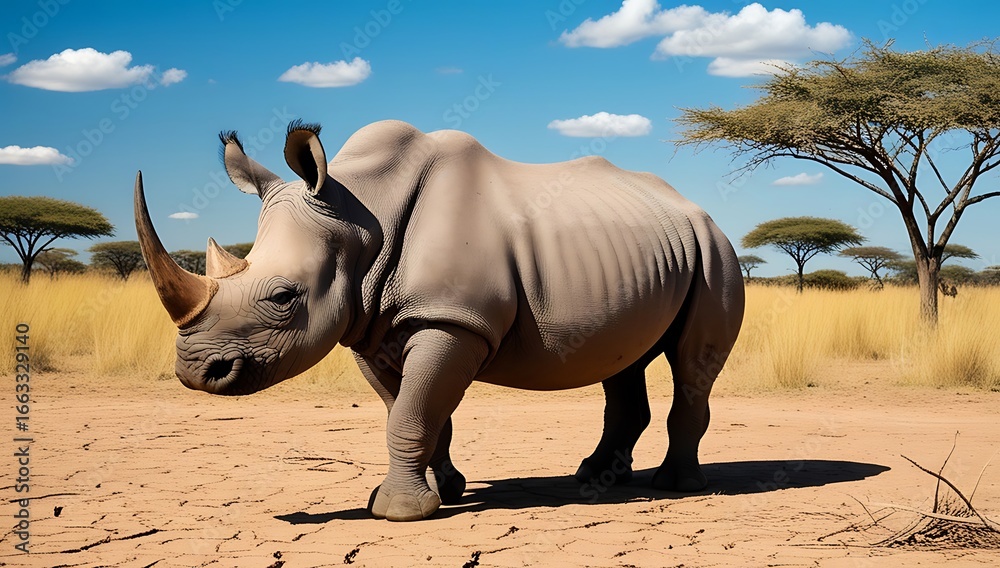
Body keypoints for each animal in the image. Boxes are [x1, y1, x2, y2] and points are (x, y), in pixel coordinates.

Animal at [134, 119, 744, 521]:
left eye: (284, 297)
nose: (195, 372)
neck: (361, 216)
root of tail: (699, 211)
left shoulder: (453, 320)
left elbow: (413, 412)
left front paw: (399, 512)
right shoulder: (371, 323)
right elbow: (416, 411)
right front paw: (444, 492)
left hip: (714, 253)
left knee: (691, 365)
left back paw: (677, 487)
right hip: (646, 256)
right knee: (623, 360)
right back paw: (595, 478)